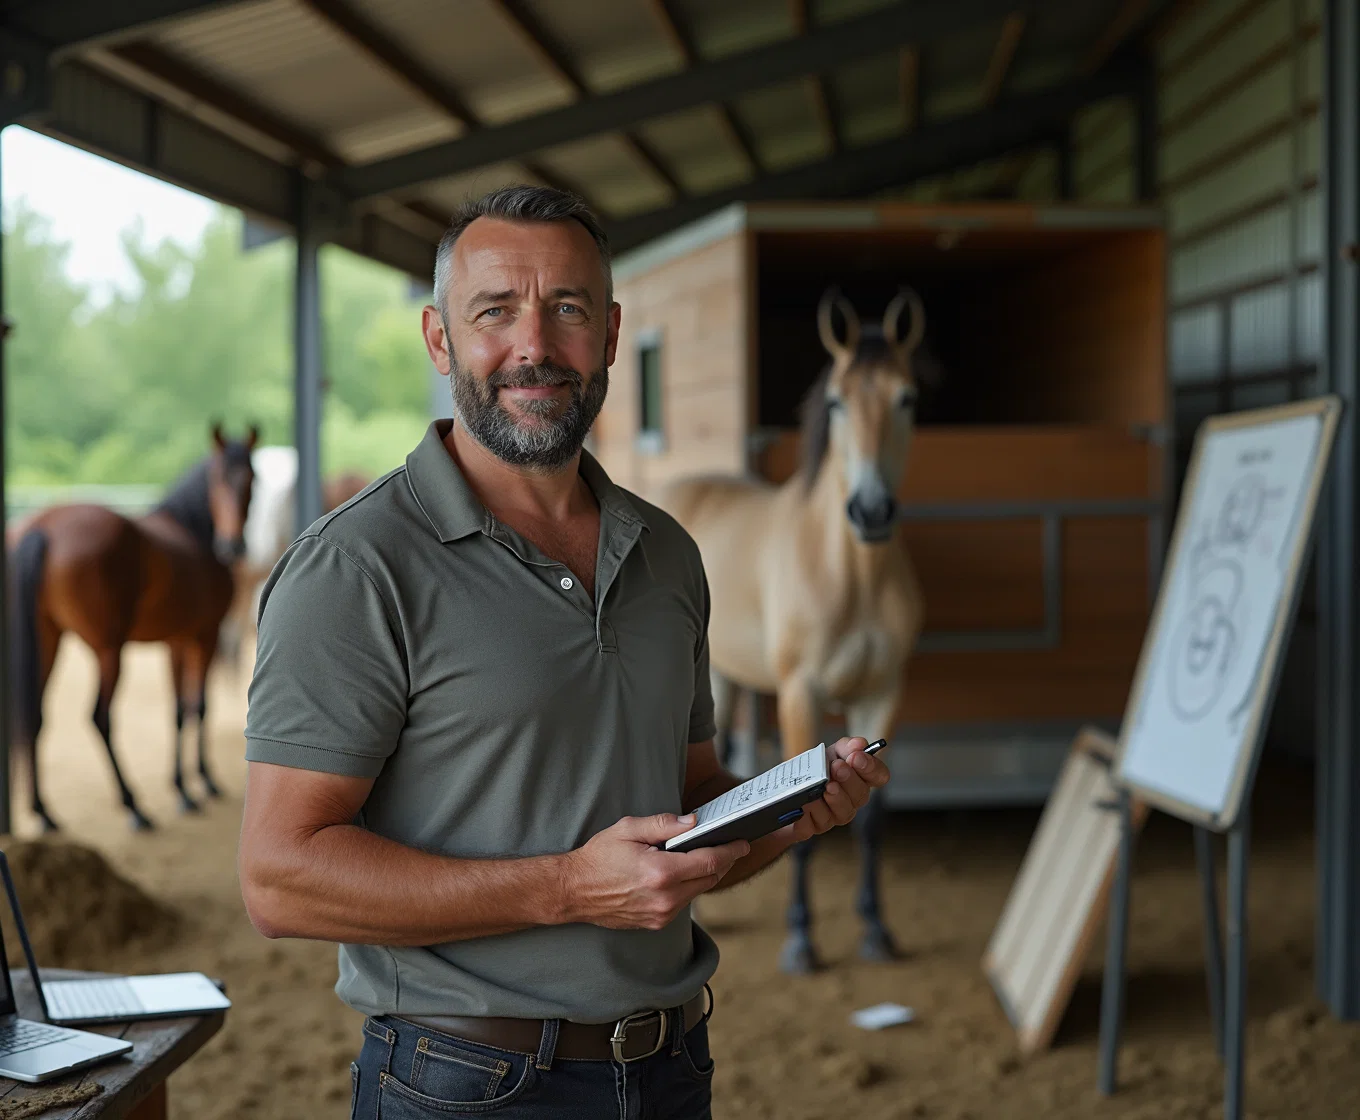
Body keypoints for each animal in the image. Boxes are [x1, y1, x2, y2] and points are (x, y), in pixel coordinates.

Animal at [8, 418, 257, 831]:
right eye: (218, 478)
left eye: (251, 478)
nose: (233, 546)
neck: (194, 531)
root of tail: (42, 527)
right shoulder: (203, 636)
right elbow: (200, 706)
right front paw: (204, 782)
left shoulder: (176, 641)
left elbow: (179, 711)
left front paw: (183, 789)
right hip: (108, 649)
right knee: (100, 717)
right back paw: (133, 806)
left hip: (47, 641)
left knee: (35, 717)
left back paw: (44, 813)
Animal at [655, 288, 924, 973]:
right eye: (836, 402)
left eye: (908, 398)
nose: (872, 511)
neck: (851, 572)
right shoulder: (801, 693)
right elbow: (800, 835)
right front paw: (802, 939)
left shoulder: (883, 695)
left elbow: (872, 823)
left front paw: (876, 929)